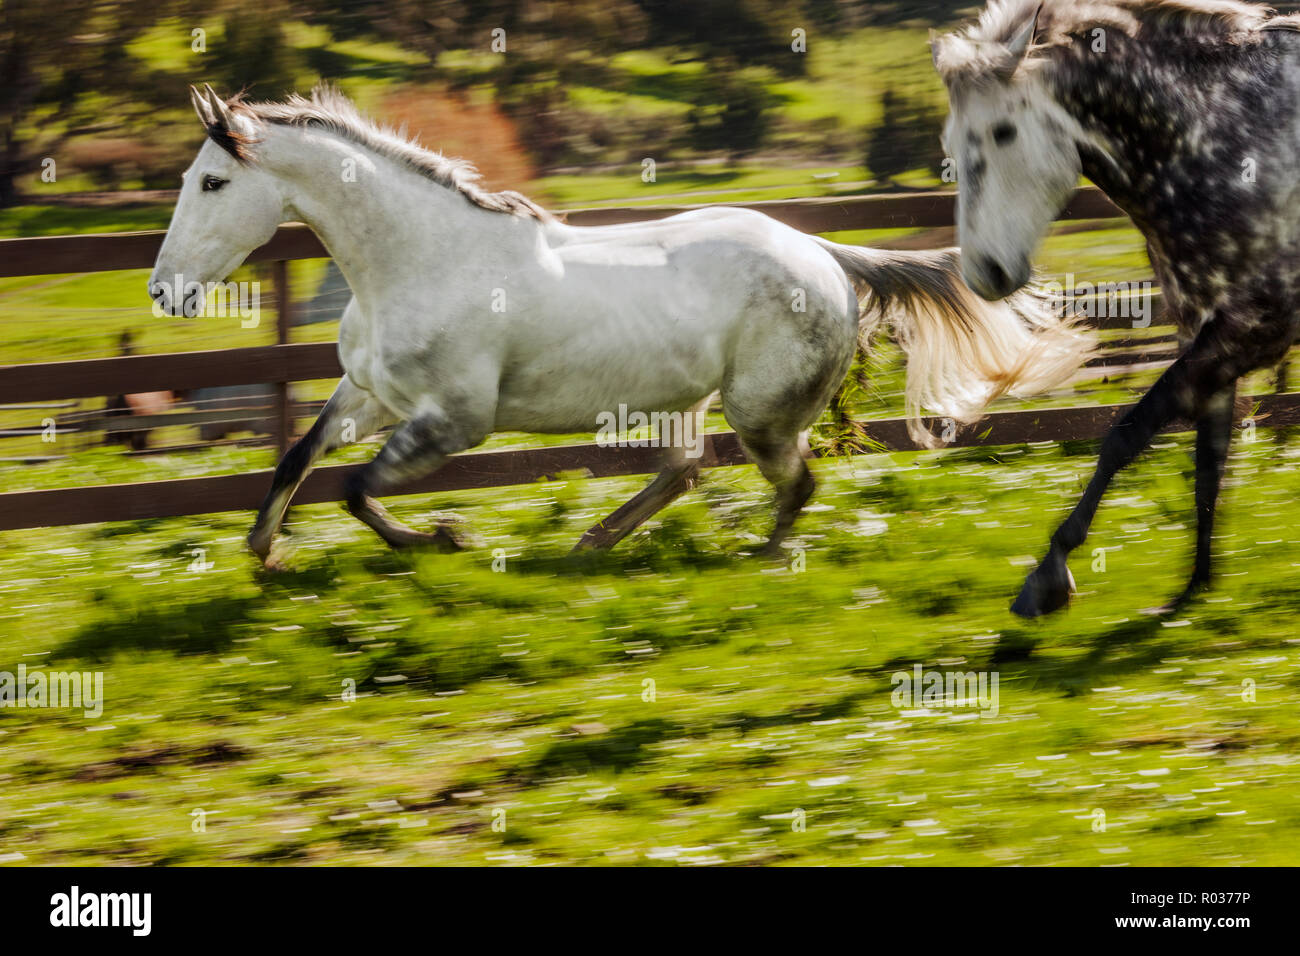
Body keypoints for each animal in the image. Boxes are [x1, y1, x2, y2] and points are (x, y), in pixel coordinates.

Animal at [149, 84, 1090, 566]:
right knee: (685, 470)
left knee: (791, 482)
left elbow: (355, 488)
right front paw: (262, 550)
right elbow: (301, 459)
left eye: (211, 183)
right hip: (687, 401)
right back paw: (593, 541)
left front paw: (444, 536)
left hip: (758, 411)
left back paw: (755, 557)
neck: (422, 260)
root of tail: (823, 252)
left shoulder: (453, 421)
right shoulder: (368, 395)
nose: (165, 292)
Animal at [932, 0, 1300, 616]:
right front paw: (1194, 589)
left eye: (1002, 131)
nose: (983, 275)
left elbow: (1126, 434)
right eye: (949, 144)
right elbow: (1208, 462)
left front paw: (1048, 574)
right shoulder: (1207, 333)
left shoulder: (1253, 329)